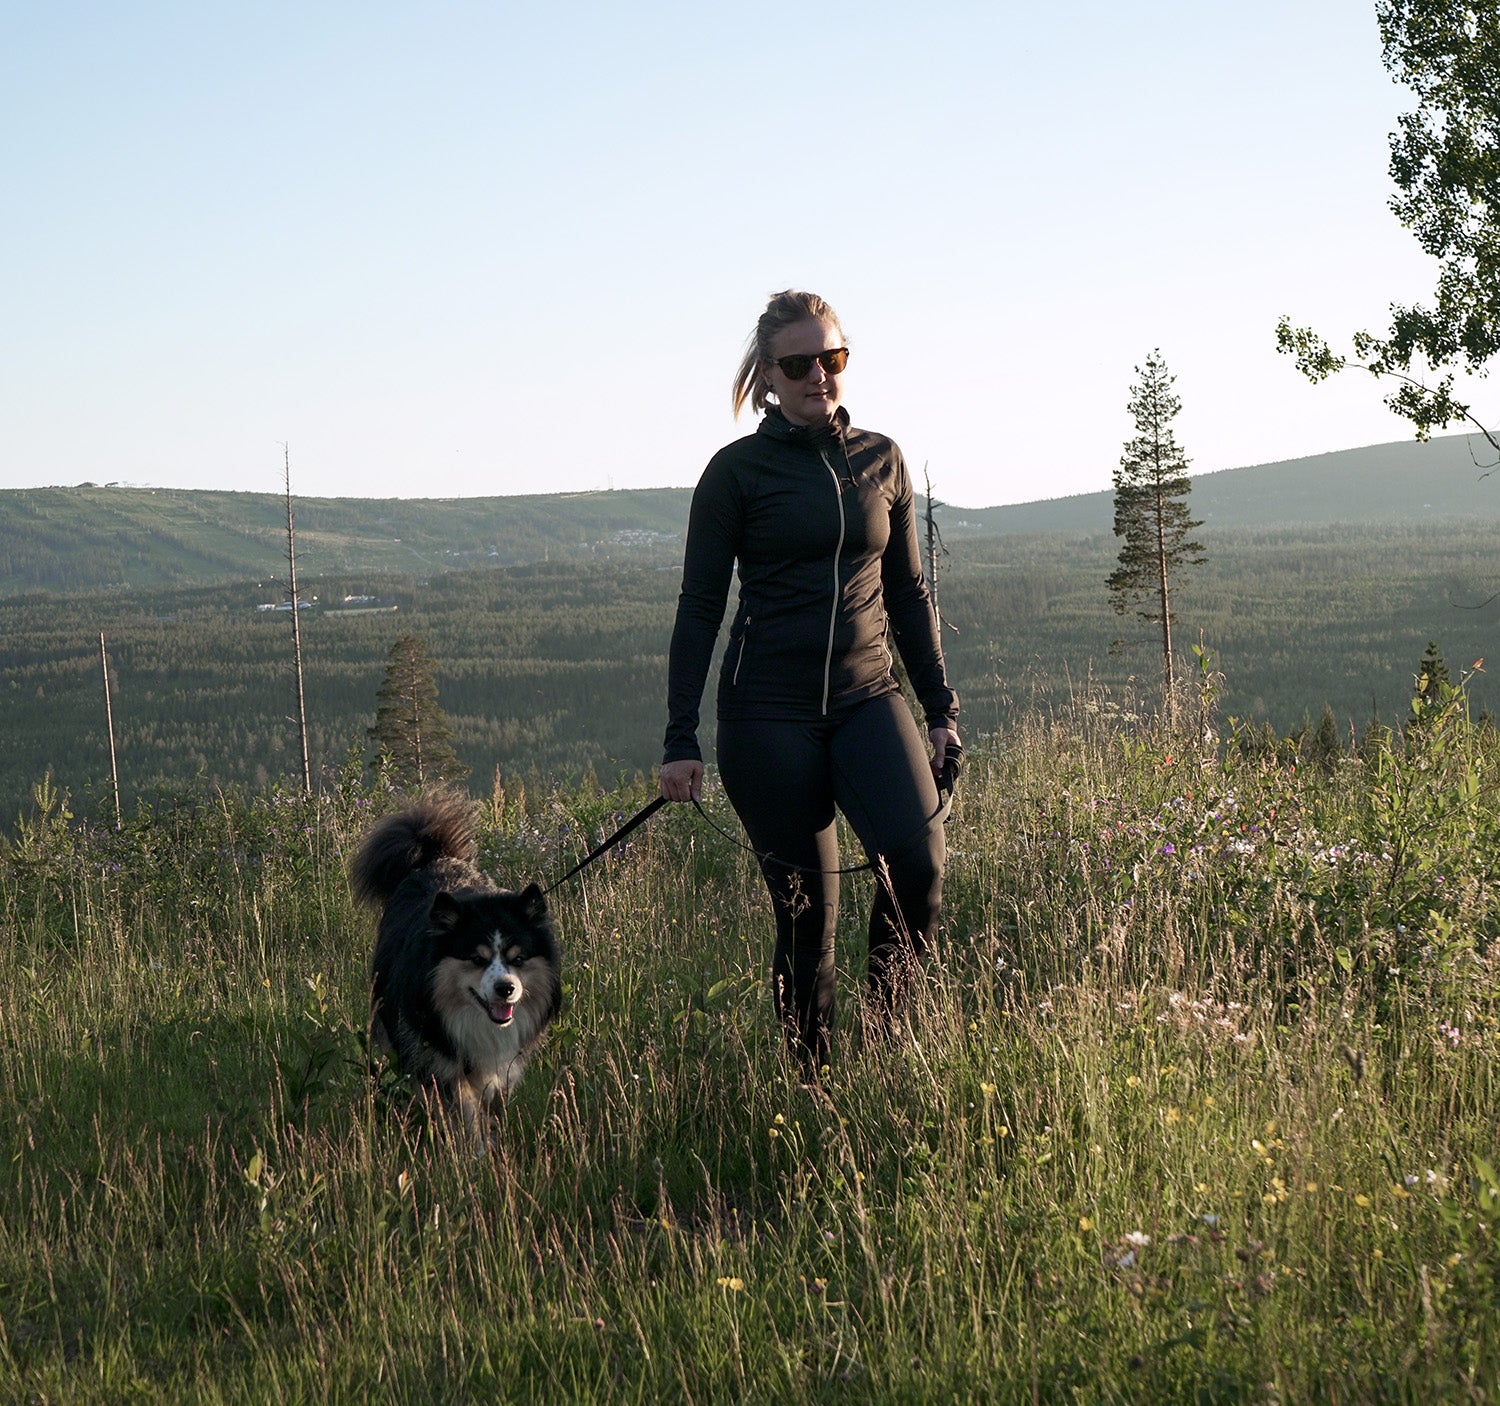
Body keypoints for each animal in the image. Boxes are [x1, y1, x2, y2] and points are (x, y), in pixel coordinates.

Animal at [348, 792, 561, 1140]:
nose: (506, 989)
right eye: (477, 958)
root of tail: (433, 857)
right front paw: (474, 1149)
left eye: (517, 959)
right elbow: (462, 1109)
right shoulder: (437, 1055)